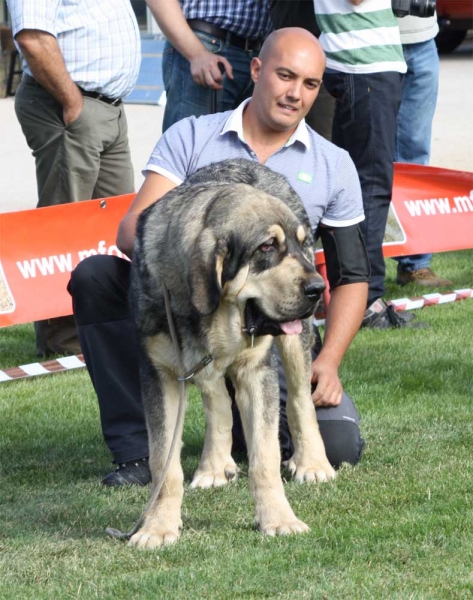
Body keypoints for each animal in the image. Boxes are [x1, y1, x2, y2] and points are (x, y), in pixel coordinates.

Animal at [129, 158, 336, 548]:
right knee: (218, 403)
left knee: (301, 399)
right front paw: (158, 526)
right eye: (267, 247)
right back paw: (213, 465)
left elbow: (265, 457)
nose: (319, 288)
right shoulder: (159, 376)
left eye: (304, 245)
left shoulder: (258, 372)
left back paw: (313, 463)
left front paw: (279, 519)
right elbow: (164, 463)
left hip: (294, 347)